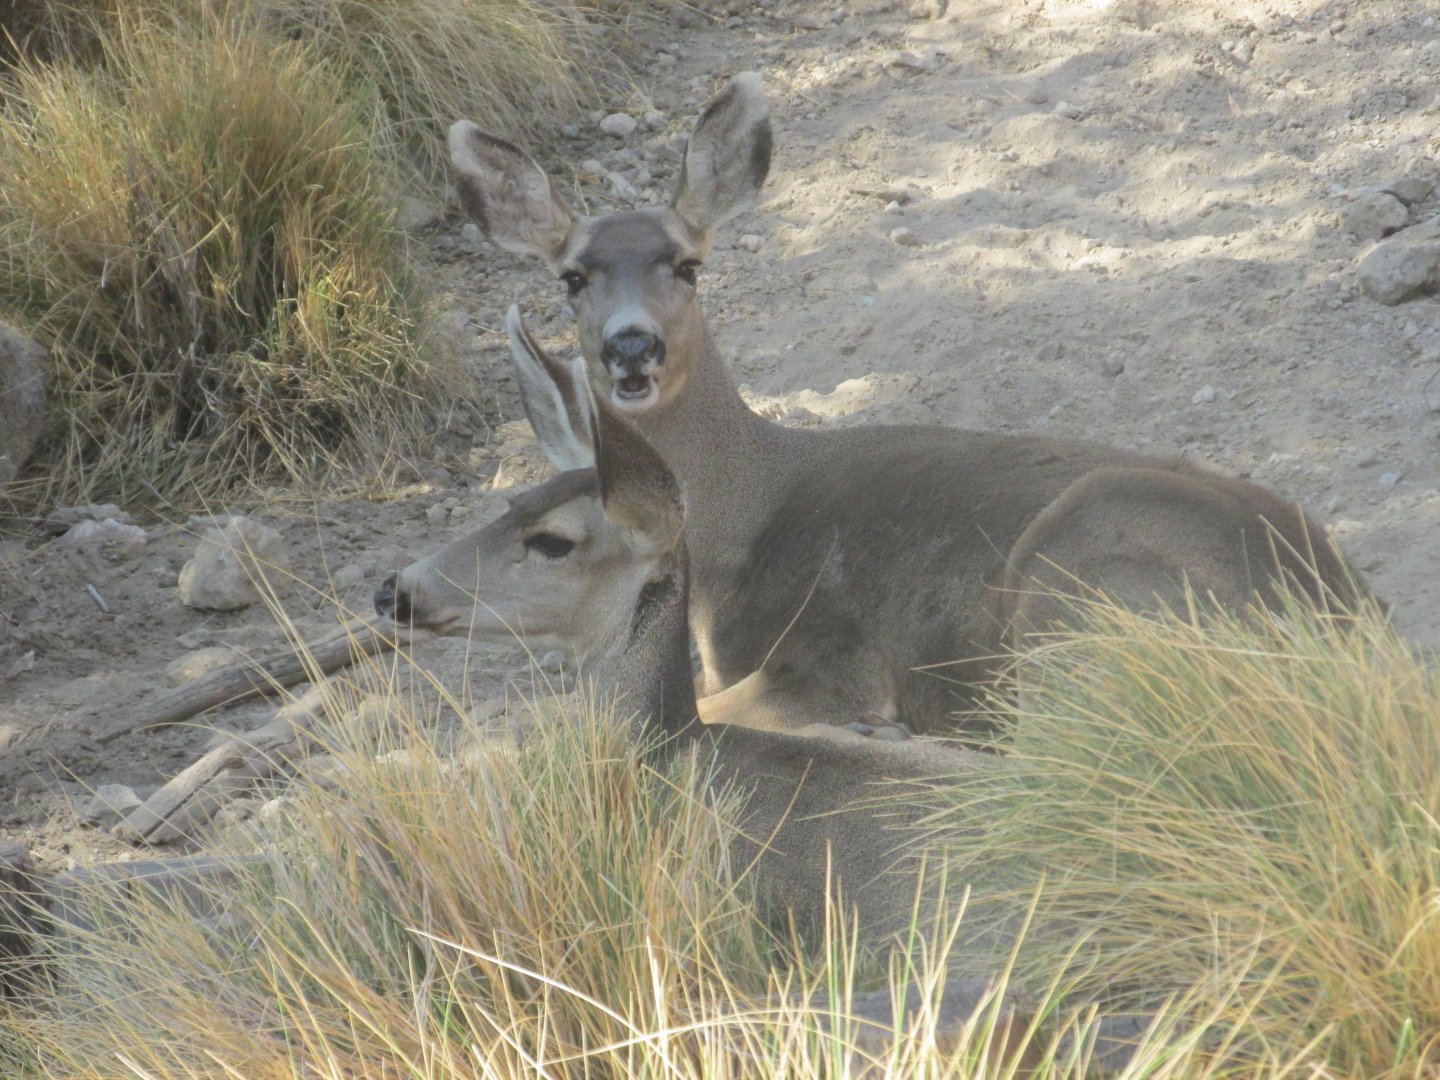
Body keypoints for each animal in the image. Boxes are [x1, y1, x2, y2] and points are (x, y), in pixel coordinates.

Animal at [444, 73, 1368, 738]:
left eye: (686, 264)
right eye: (573, 277)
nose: (632, 347)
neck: (739, 522)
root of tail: (1342, 619)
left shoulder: (832, 658)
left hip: (1081, 595)